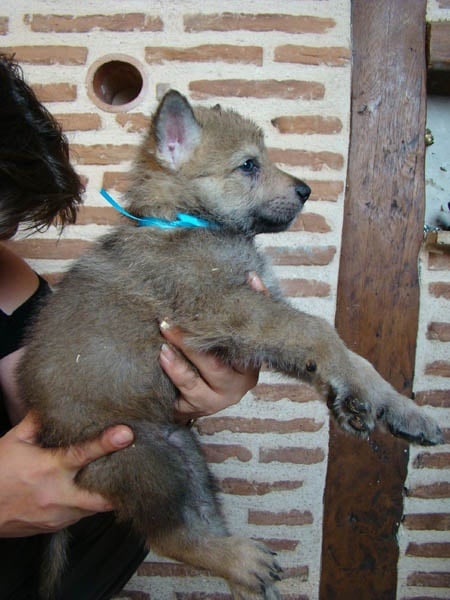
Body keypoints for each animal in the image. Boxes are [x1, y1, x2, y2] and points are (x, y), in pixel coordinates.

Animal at [19, 90, 442, 599]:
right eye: (248, 165)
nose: (306, 190)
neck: (192, 222)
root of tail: (51, 435)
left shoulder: (253, 322)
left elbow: (347, 357)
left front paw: (396, 408)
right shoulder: (227, 309)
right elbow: (318, 332)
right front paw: (358, 395)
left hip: (186, 457)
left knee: (203, 523)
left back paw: (248, 574)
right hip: (140, 459)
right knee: (171, 536)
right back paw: (243, 561)